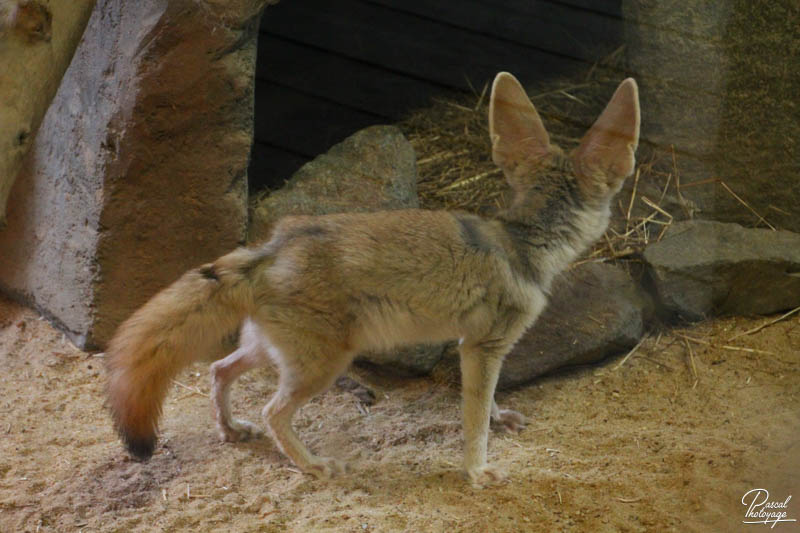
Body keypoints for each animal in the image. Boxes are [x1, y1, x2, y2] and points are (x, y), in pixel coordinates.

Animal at [108, 71, 644, 486]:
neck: (520, 239)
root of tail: (272, 246)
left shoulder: (475, 349)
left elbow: (485, 402)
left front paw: (498, 420)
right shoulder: (482, 347)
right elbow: (473, 420)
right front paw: (477, 470)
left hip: (275, 352)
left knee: (220, 371)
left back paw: (232, 430)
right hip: (321, 366)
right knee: (272, 411)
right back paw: (312, 464)